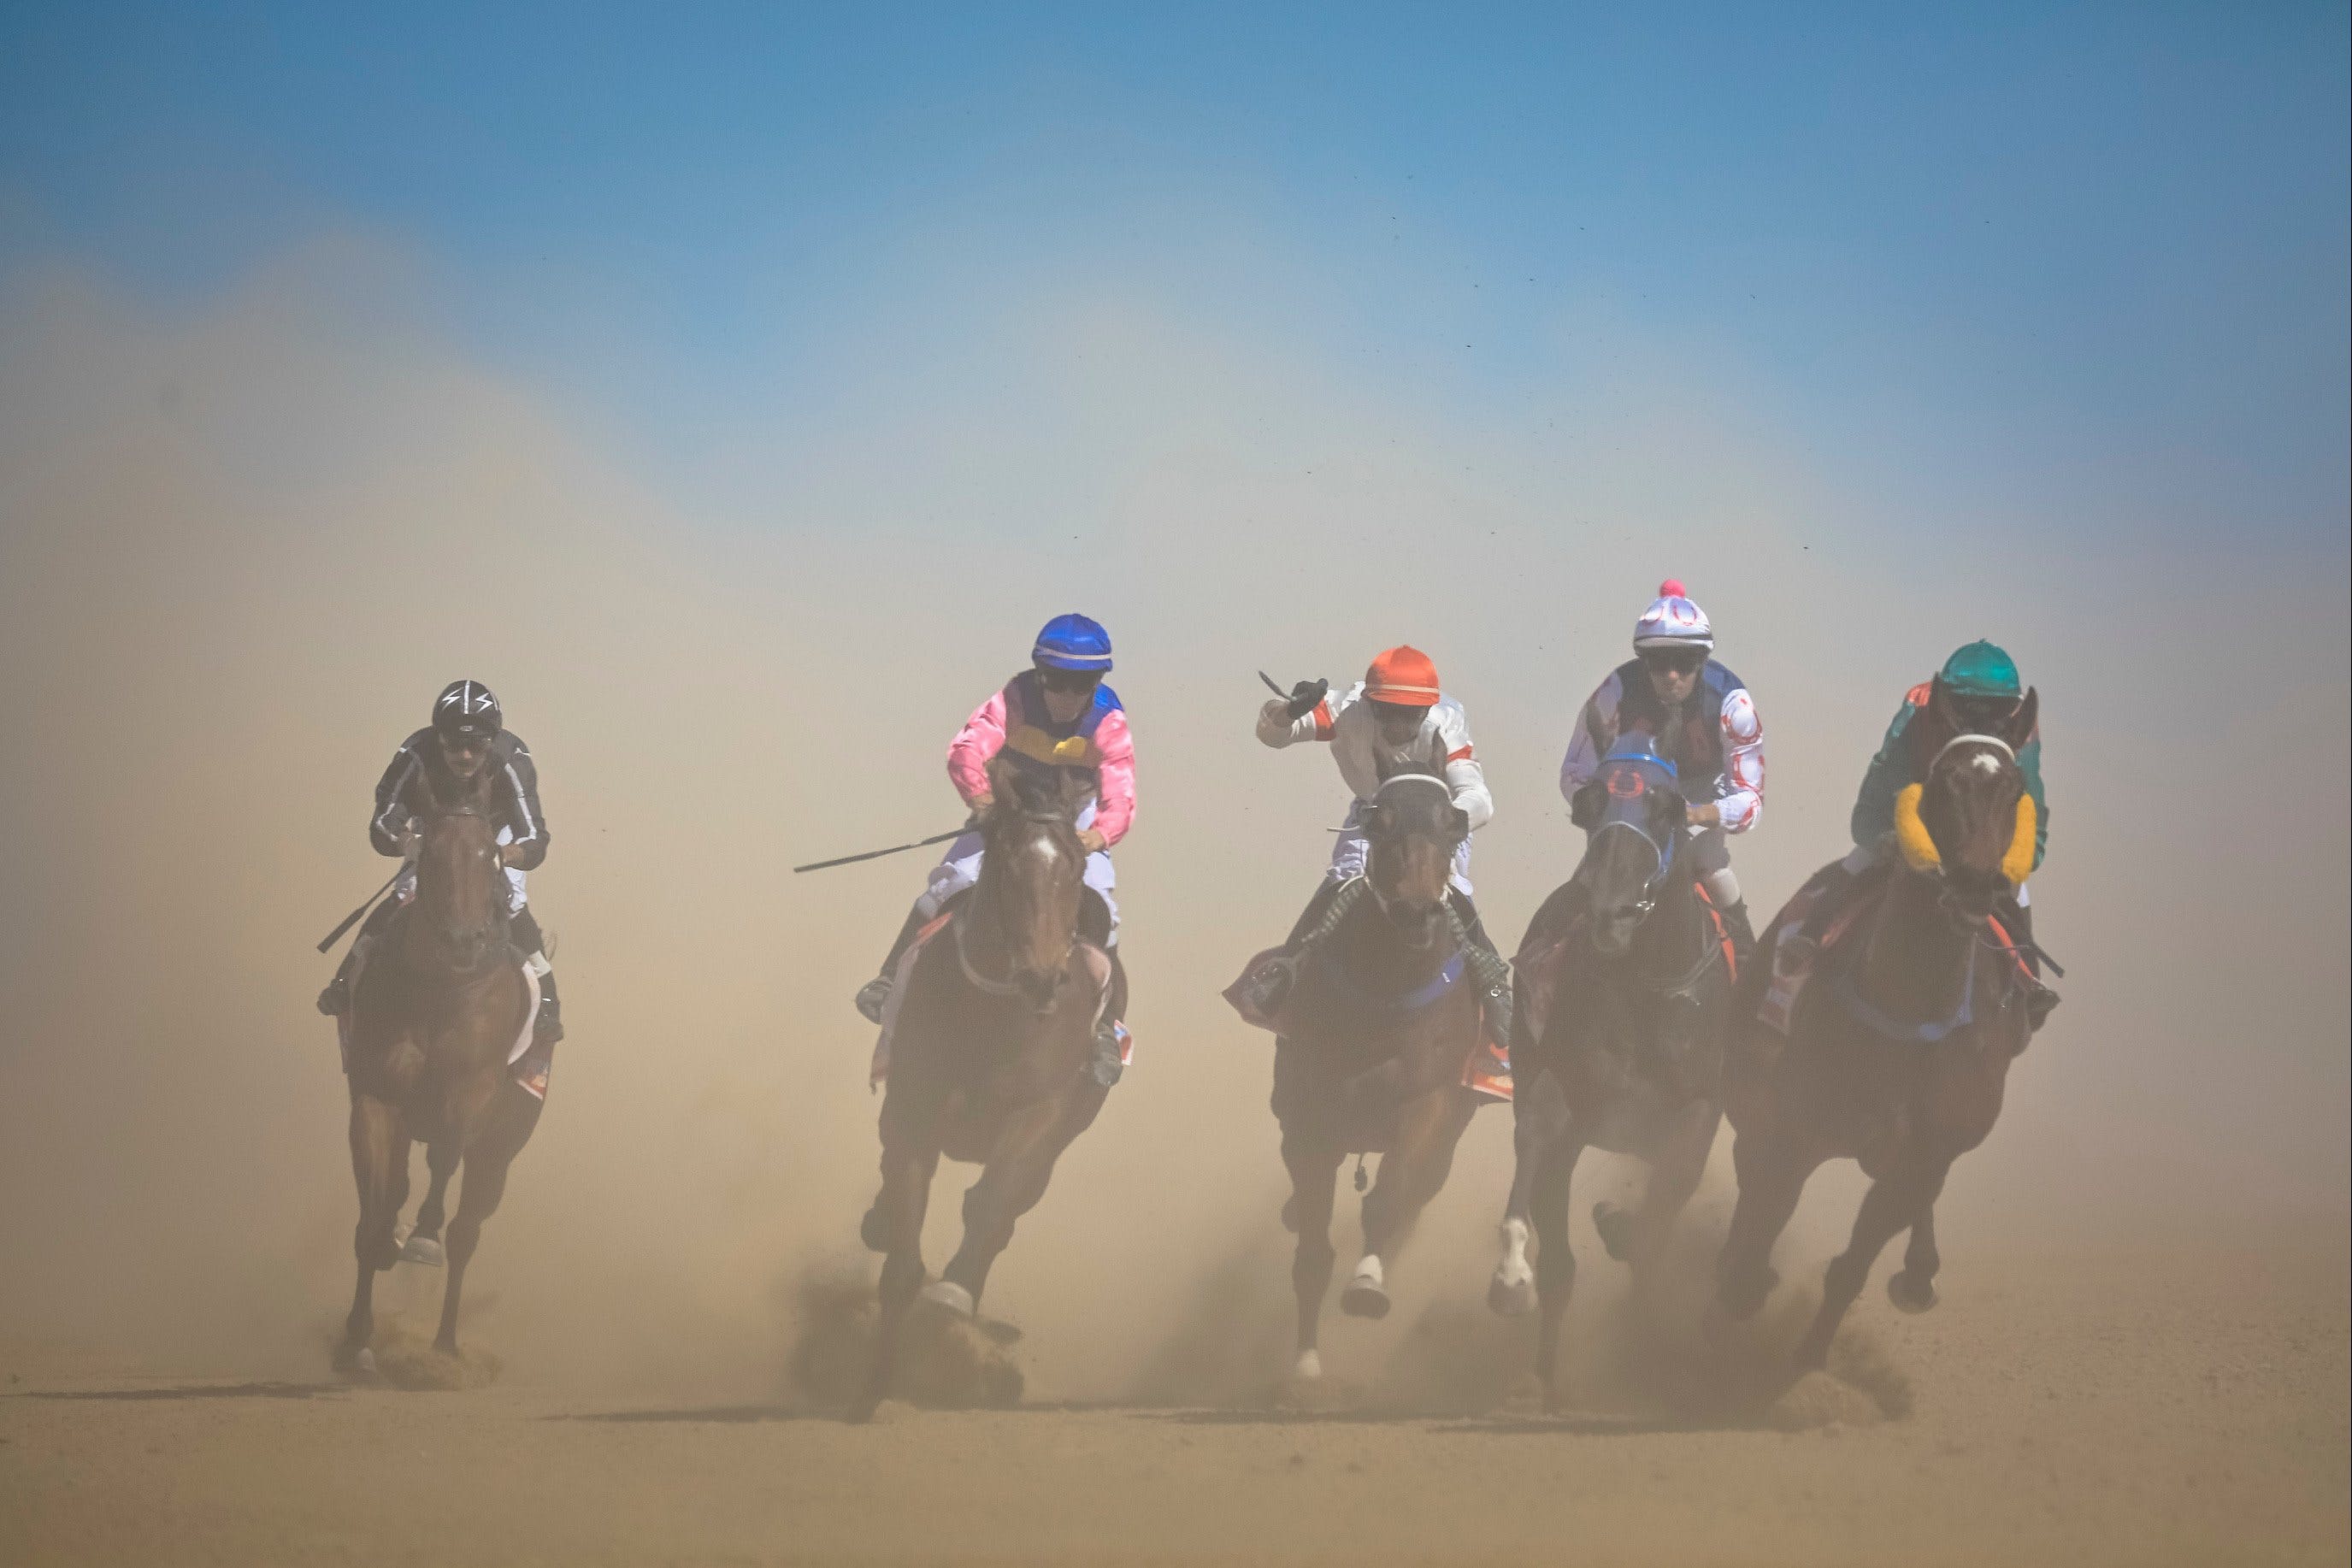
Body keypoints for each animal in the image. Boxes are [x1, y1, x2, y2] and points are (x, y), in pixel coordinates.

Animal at [336, 770, 545, 1372]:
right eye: (428, 855)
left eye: (489, 857)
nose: (463, 940)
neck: (440, 987)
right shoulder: (377, 1095)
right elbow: (374, 1206)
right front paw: (358, 1337)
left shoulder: (472, 1090)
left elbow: (447, 1153)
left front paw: (422, 1237)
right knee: (399, 1186)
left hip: (503, 1146)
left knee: (467, 1232)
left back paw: (446, 1346)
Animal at [856, 752, 1119, 1429]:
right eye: (1007, 863)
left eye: (1075, 869)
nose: (1043, 977)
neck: (996, 1015)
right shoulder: (914, 1105)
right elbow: (904, 1238)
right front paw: (877, 1383)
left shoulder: (1040, 1114)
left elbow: (992, 1202)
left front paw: (952, 1293)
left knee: (1003, 1206)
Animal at [1270, 770, 1486, 1382]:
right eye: (1377, 821)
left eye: (1451, 822)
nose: (1416, 911)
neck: (1385, 993)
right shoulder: (1308, 1119)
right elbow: (1312, 1250)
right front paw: (1306, 1362)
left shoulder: (1425, 1101)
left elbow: (1388, 1199)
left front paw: (1367, 1286)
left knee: (1415, 1193)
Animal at [1495, 747, 1740, 1410]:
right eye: (1590, 806)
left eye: (1666, 811)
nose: (1610, 912)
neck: (1644, 985)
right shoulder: (1568, 1088)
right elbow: (1541, 1142)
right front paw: (1515, 1285)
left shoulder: (1696, 1109)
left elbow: (1656, 1219)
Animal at [1712, 691, 2041, 1363]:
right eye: (1943, 780)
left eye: (2015, 786)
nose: (1975, 884)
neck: (1909, 1006)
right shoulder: (1794, 1129)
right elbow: (1756, 1226)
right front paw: (1738, 1289)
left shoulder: (1921, 1156)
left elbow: (1850, 1266)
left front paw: (1805, 1360)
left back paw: (1917, 1274)